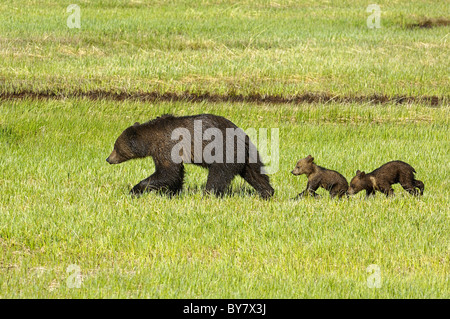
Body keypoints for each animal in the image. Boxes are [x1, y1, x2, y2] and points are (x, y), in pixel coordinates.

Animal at [106, 115, 274, 199]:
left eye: (115, 147)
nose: (108, 159)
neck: (151, 139)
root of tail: (243, 137)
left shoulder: (167, 146)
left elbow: (167, 172)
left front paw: (135, 190)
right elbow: (175, 174)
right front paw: (172, 193)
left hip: (224, 151)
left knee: (217, 176)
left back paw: (208, 195)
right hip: (246, 155)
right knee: (256, 173)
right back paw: (267, 192)